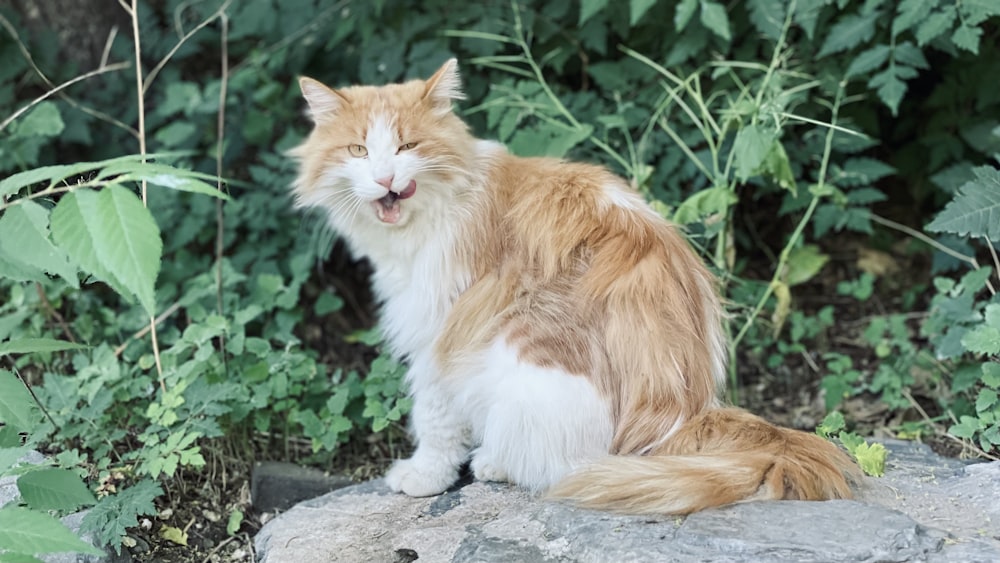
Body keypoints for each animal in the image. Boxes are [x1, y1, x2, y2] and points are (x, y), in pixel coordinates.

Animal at [292, 59, 860, 512]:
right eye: (359, 150)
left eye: (408, 146)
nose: (385, 179)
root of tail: (686, 414)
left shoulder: (437, 332)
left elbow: (434, 419)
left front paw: (424, 476)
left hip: (520, 353)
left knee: (568, 466)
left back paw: (497, 463)